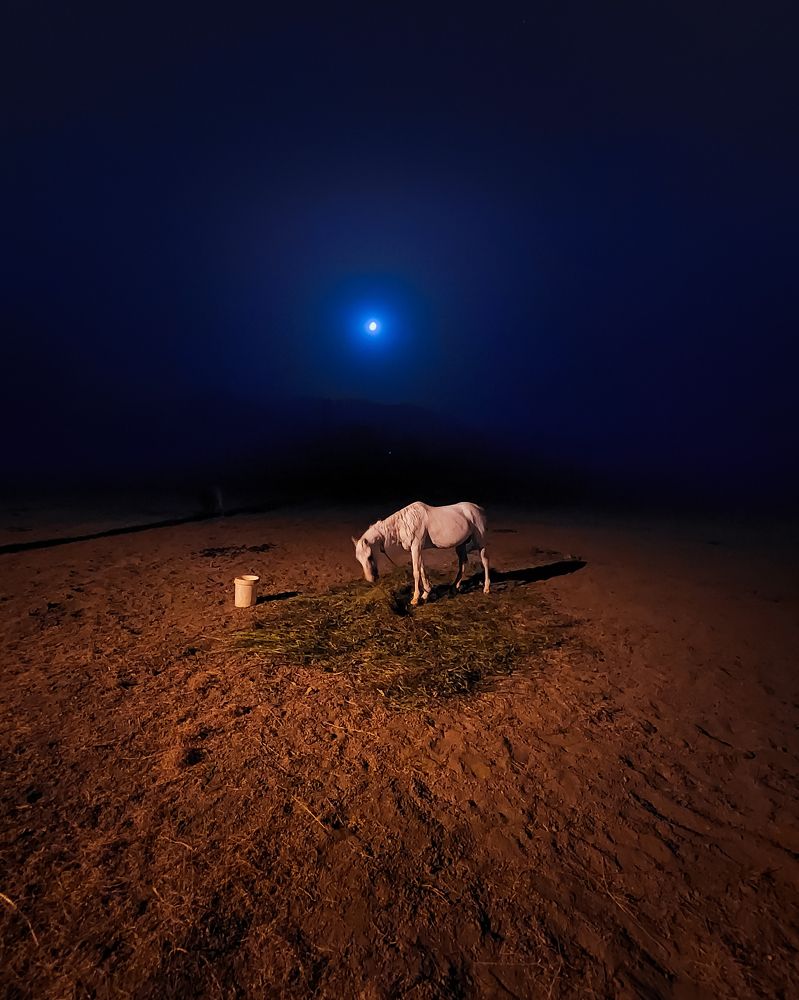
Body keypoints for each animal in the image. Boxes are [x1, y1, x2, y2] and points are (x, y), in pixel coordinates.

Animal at [353, 501, 490, 606]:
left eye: (369, 556)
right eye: (359, 560)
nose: (371, 579)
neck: (403, 523)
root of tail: (478, 508)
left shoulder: (416, 547)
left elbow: (416, 572)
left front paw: (415, 599)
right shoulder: (418, 549)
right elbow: (422, 569)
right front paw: (426, 593)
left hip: (480, 542)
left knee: (485, 561)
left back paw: (486, 588)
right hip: (460, 545)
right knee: (463, 562)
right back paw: (455, 587)